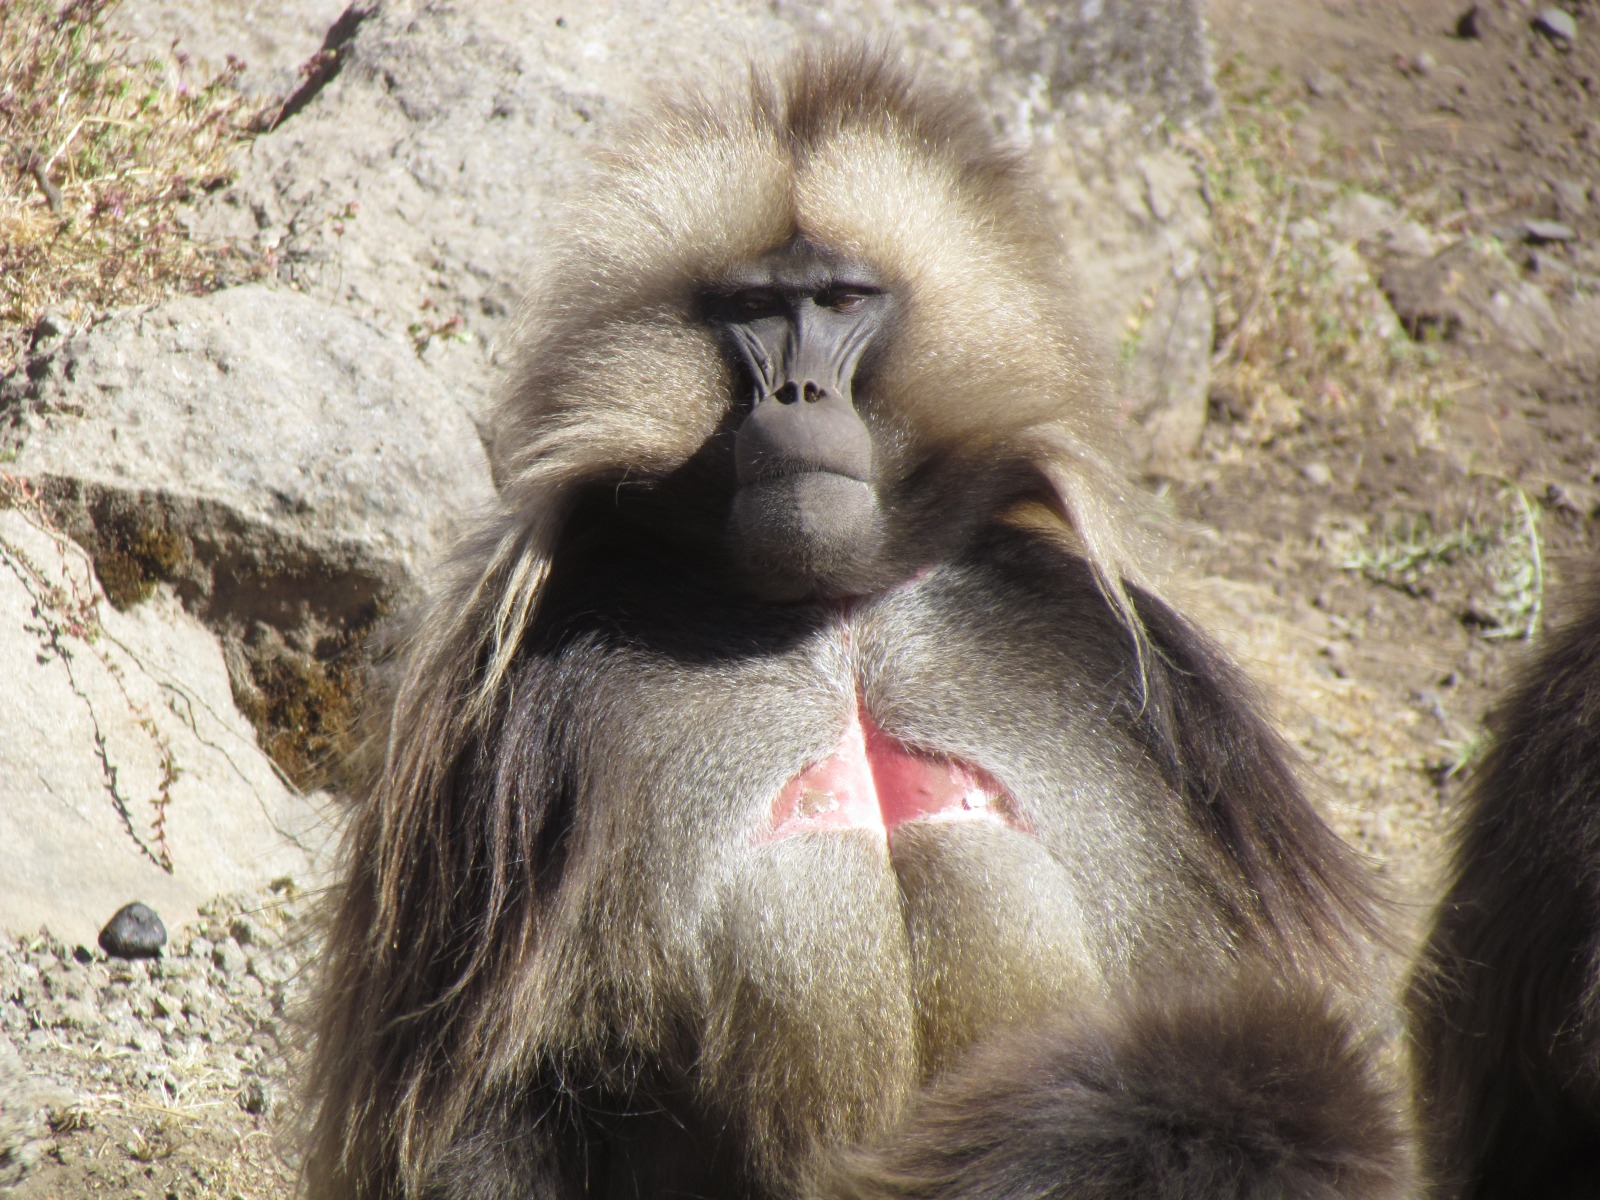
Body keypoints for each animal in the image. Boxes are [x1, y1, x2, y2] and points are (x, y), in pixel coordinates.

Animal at [301, 48, 1414, 1200]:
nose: (796, 392)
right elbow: (483, 1109)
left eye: (839, 300)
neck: (835, 620)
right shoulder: (519, 722)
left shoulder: (1130, 672)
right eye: (752, 308)